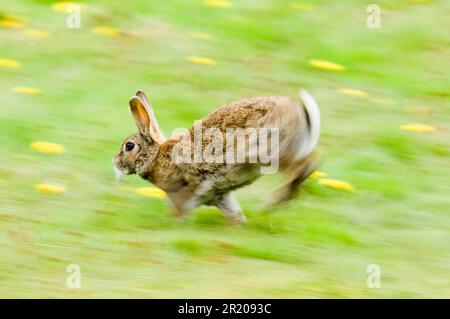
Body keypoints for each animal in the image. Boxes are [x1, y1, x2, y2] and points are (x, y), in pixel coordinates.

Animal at [114, 89, 322, 224]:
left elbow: (181, 208)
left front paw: (174, 222)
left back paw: (276, 201)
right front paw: (239, 225)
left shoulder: (184, 190)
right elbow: (232, 211)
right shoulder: (220, 195)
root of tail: (303, 116)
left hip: (265, 153)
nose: (115, 162)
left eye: (129, 146)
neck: (156, 156)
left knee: (304, 165)